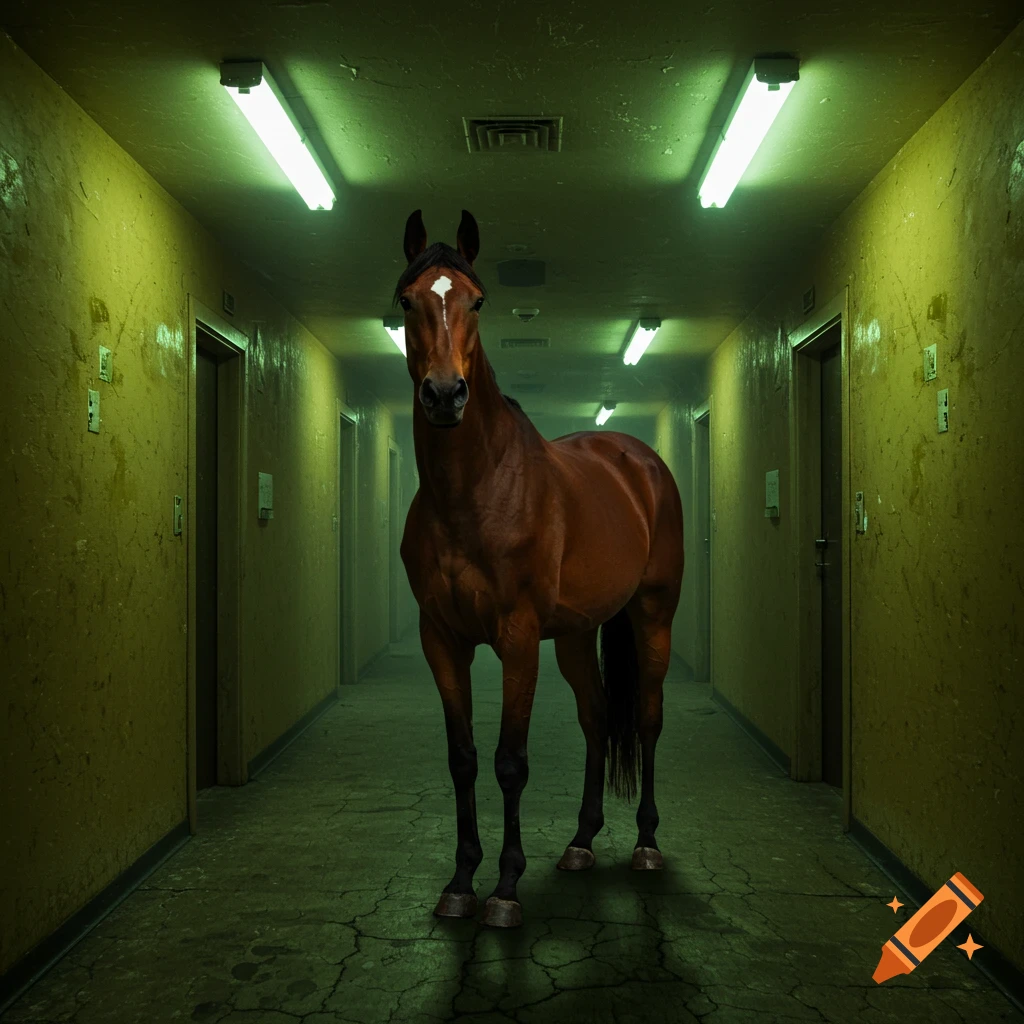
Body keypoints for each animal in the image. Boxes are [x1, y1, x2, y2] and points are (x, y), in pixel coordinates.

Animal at [396, 209, 685, 928]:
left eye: (476, 300)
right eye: (407, 300)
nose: (445, 395)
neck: (473, 491)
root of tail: (640, 460)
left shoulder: (519, 637)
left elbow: (510, 761)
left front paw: (504, 888)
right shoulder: (441, 639)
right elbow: (463, 759)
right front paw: (461, 882)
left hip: (652, 615)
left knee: (645, 716)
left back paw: (645, 844)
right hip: (578, 634)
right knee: (595, 717)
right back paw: (581, 842)